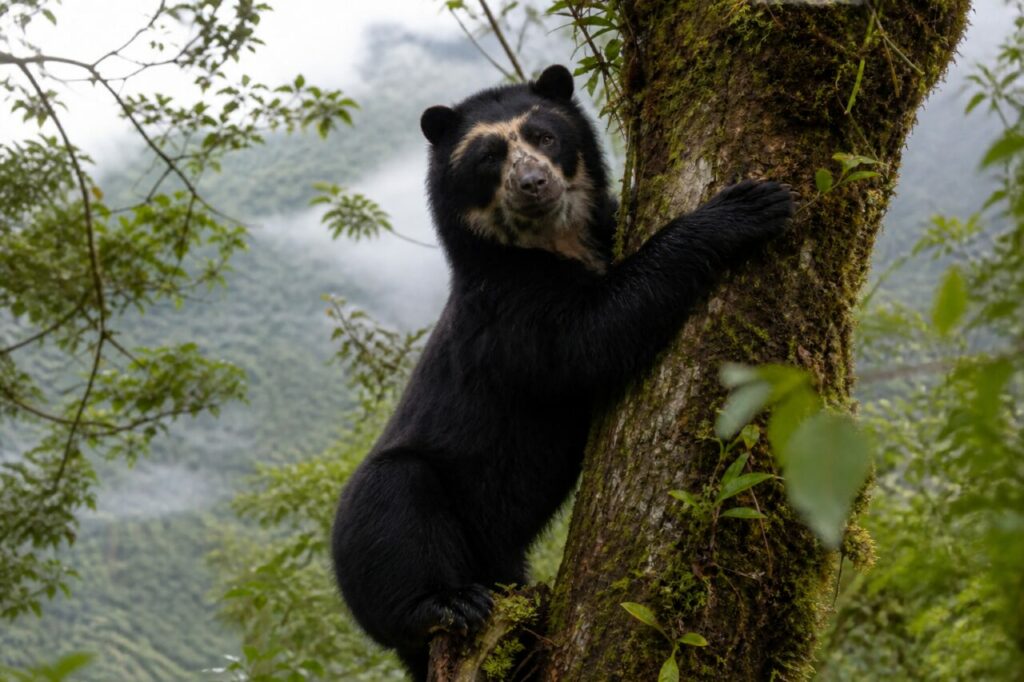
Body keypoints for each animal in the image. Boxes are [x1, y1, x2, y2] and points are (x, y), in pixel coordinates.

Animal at [331, 64, 793, 681]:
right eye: (489, 157)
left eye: (545, 136)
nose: (533, 182)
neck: (552, 241)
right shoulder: (509, 311)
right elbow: (591, 337)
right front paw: (747, 207)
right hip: (378, 532)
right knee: (397, 511)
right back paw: (449, 603)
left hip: (499, 557)